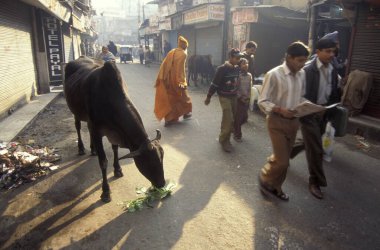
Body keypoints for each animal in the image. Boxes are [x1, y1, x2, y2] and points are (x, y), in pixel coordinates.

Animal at [63, 57, 165, 202]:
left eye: (162, 157)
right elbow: (103, 162)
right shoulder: (97, 131)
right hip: (75, 111)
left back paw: (93, 149)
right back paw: (82, 148)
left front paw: (117, 169)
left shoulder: (114, 132)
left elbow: (115, 149)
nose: (162, 184)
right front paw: (106, 192)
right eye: (149, 162)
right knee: (77, 126)